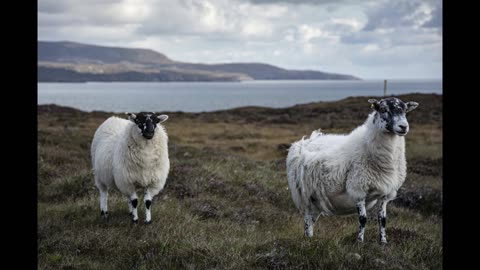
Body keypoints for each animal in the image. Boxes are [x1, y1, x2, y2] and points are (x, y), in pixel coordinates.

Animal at [286, 96, 418, 243]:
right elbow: (363, 219)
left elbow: (382, 220)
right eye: (384, 109)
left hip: (316, 198)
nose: (403, 127)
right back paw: (308, 239)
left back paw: (309, 238)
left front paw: (383, 242)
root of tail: (305, 141)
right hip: (304, 194)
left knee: (312, 219)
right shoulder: (358, 189)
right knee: (307, 218)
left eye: (405, 110)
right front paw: (359, 242)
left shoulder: (386, 193)